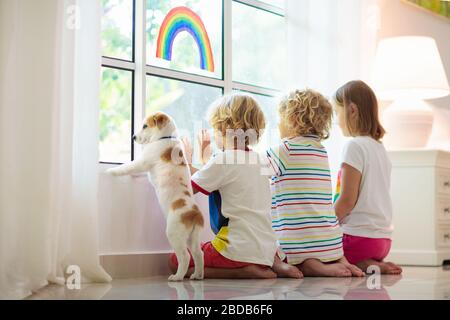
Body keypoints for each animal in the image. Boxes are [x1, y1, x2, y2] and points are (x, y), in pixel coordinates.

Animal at [106, 111, 205, 282]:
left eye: (145, 126)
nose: (133, 137)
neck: (165, 137)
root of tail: (194, 213)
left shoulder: (142, 162)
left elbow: (127, 167)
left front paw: (111, 171)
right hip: (193, 237)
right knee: (199, 254)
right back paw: (197, 275)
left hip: (174, 234)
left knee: (185, 257)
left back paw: (177, 277)